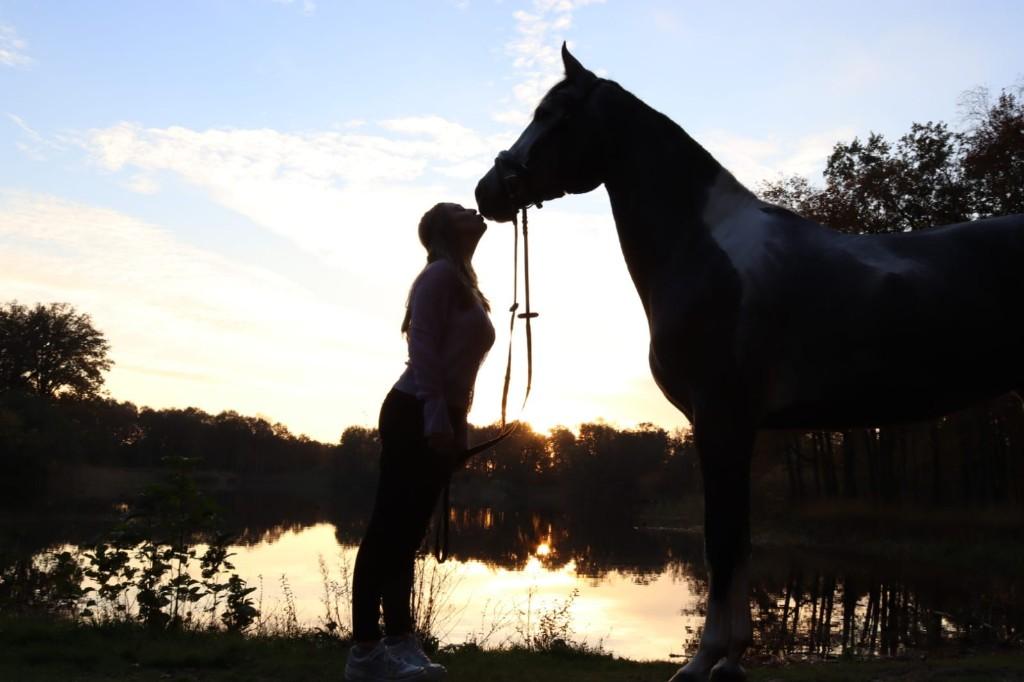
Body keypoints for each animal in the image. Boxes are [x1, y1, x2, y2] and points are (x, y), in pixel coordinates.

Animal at [475, 44, 1024, 681]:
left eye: (552, 114)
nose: (487, 191)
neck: (702, 252)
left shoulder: (721, 418)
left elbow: (721, 538)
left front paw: (705, 660)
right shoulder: (735, 427)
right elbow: (739, 539)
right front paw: (730, 658)